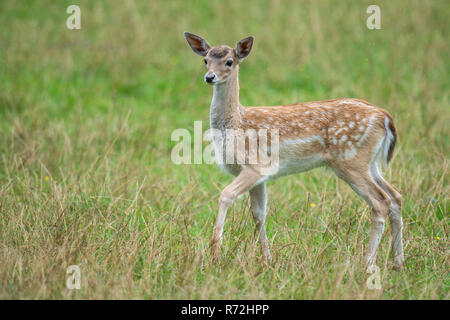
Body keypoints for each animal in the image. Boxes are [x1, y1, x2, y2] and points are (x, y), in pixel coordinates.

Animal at [185, 31, 406, 270]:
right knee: (395, 196)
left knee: (380, 201)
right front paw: (267, 259)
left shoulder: (256, 165)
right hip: (370, 162)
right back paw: (398, 262)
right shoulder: (260, 176)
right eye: (205, 60)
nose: (210, 77)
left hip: (351, 160)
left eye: (229, 61)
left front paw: (215, 253)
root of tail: (385, 117)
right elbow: (259, 214)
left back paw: (367, 263)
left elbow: (225, 195)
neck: (235, 123)